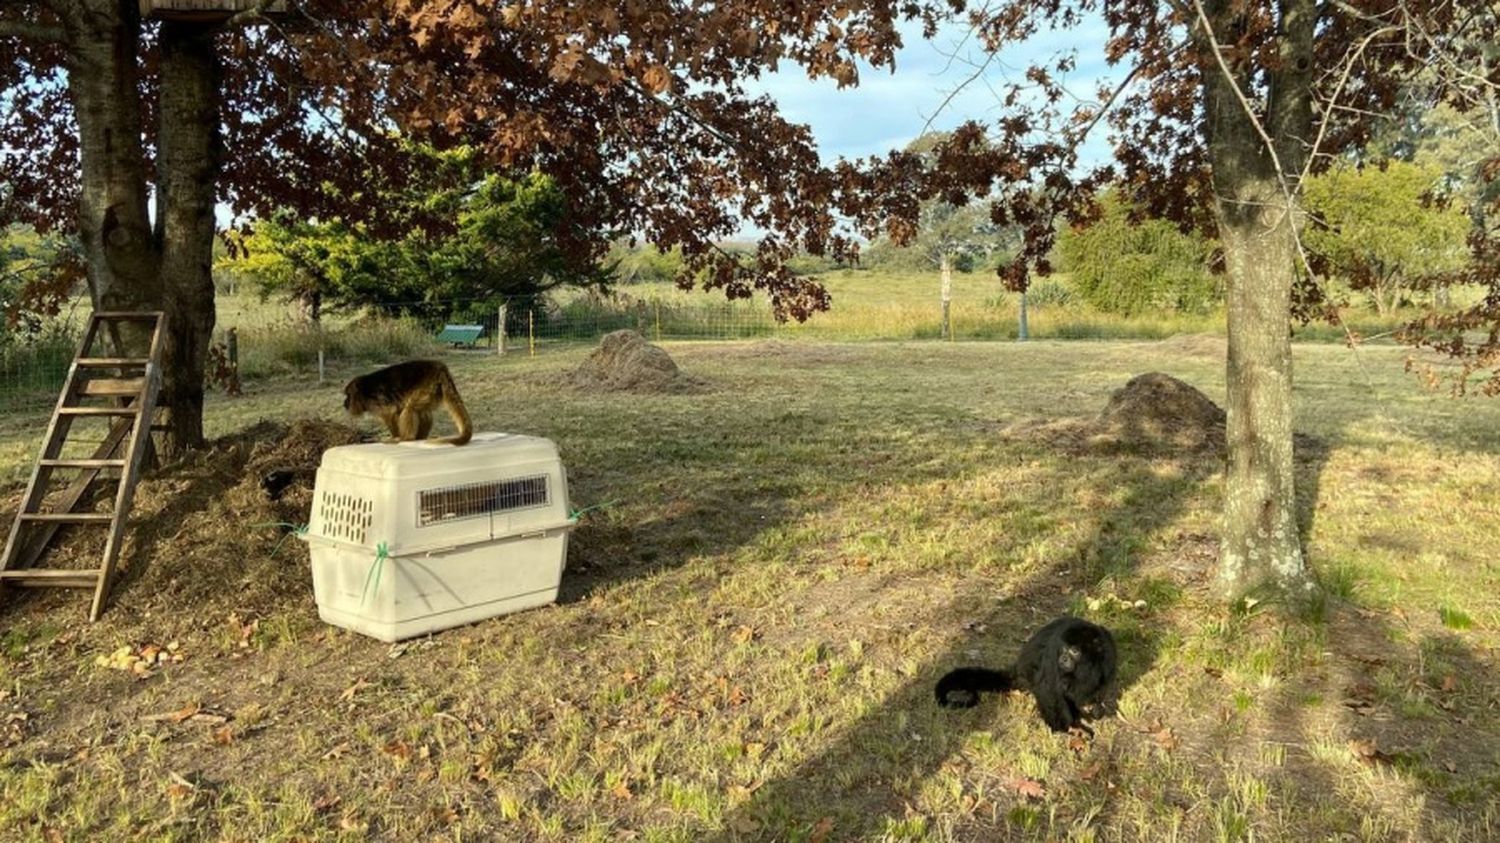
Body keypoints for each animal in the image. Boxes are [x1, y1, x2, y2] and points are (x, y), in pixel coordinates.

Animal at [343, 357, 471, 444]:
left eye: (348, 396)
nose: (344, 403)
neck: (363, 392)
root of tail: (440, 368)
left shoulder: (376, 399)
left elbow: (390, 412)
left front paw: (394, 437)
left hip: (428, 385)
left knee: (410, 408)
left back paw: (407, 438)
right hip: (434, 390)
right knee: (423, 412)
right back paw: (419, 437)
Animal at [936, 615, 1116, 732]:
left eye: (1075, 651)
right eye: (1064, 649)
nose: (1063, 658)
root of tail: (1018, 670)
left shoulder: (1108, 651)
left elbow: (1103, 683)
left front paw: (1096, 707)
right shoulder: (1054, 651)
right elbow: (1049, 690)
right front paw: (1071, 728)